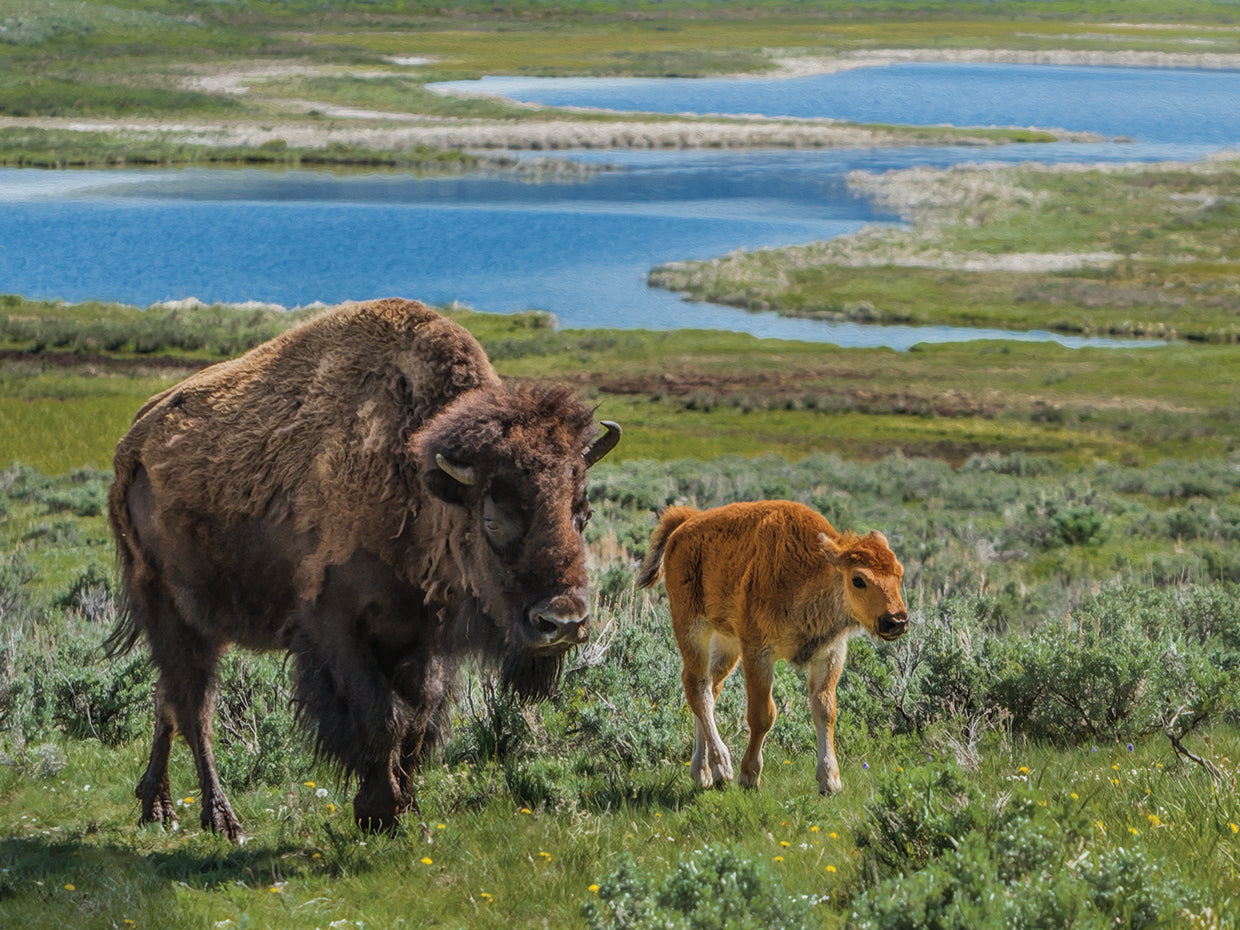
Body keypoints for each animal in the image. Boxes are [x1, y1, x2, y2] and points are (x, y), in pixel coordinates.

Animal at [105, 297, 620, 839]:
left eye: (582, 511)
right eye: (493, 517)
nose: (563, 622)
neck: (417, 476)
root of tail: (134, 443)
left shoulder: (422, 638)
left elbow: (417, 720)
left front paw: (408, 811)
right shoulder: (335, 627)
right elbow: (383, 717)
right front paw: (381, 810)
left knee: (168, 699)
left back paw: (157, 806)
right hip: (170, 609)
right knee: (193, 707)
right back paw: (222, 818)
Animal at [636, 500, 907, 795]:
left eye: (900, 574)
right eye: (858, 580)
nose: (896, 620)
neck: (810, 571)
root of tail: (686, 523)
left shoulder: (830, 654)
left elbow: (825, 710)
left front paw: (830, 780)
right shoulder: (758, 653)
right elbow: (762, 714)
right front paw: (748, 775)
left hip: (727, 643)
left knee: (710, 688)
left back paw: (703, 772)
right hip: (692, 627)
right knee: (696, 687)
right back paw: (722, 767)